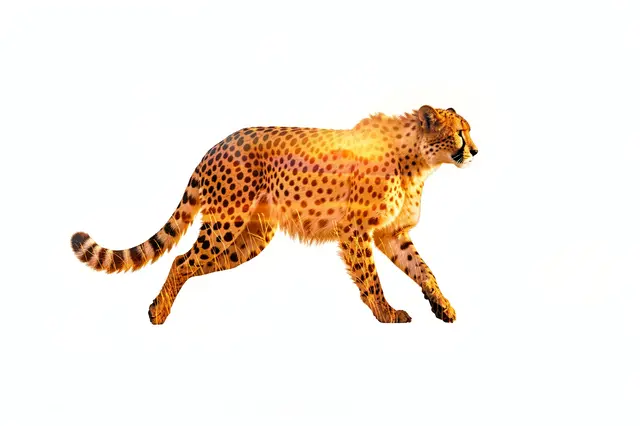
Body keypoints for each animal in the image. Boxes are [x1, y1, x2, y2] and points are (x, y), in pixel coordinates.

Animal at [70, 105, 478, 324]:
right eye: (460, 132)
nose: (476, 150)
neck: (419, 160)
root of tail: (217, 143)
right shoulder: (356, 230)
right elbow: (371, 278)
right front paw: (385, 313)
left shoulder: (391, 234)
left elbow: (423, 269)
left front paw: (442, 305)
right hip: (224, 223)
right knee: (181, 260)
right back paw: (159, 312)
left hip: (248, 240)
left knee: (191, 263)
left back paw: (158, 306)